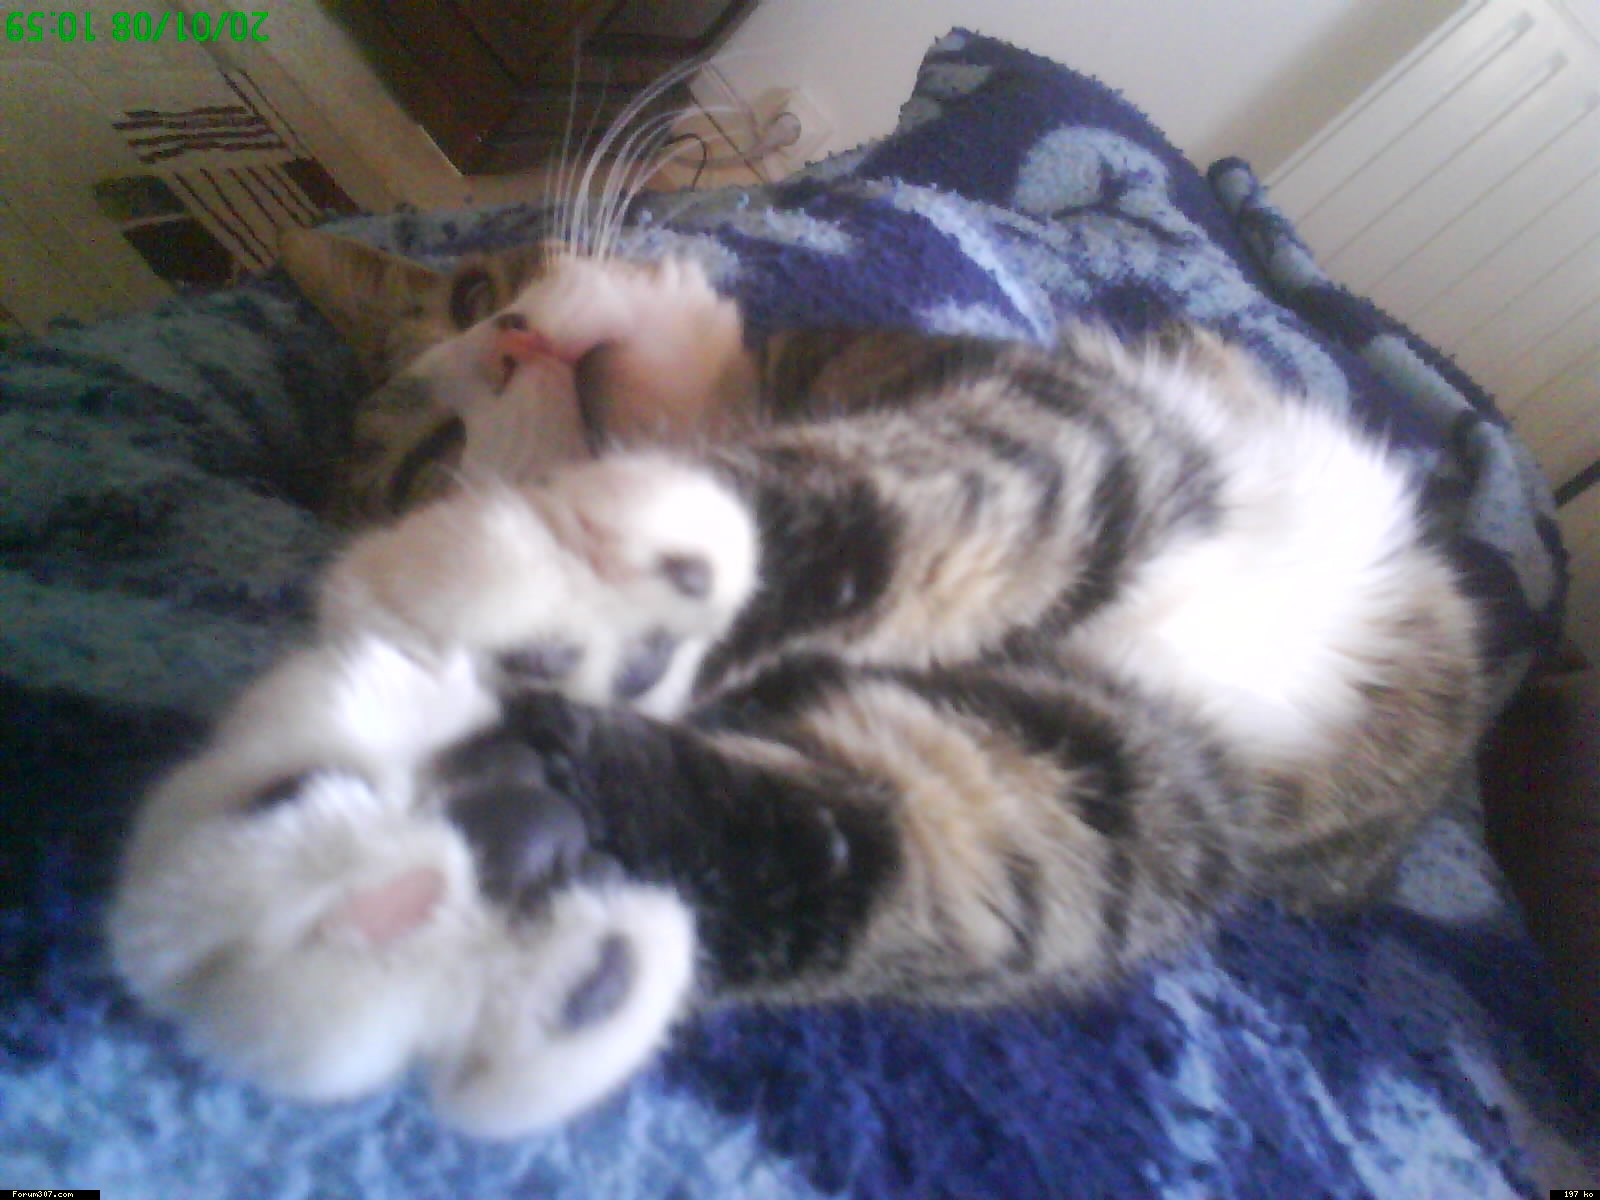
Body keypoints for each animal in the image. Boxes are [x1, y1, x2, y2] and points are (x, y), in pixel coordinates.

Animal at [108, 231, 1487, 1138]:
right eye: (427, 455)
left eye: (473, 287)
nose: (507, 341)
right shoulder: (1116, 788)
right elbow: (894, 852)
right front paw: (418, 884)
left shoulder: (1092, 421)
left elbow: (962, 485)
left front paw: (588, 578)